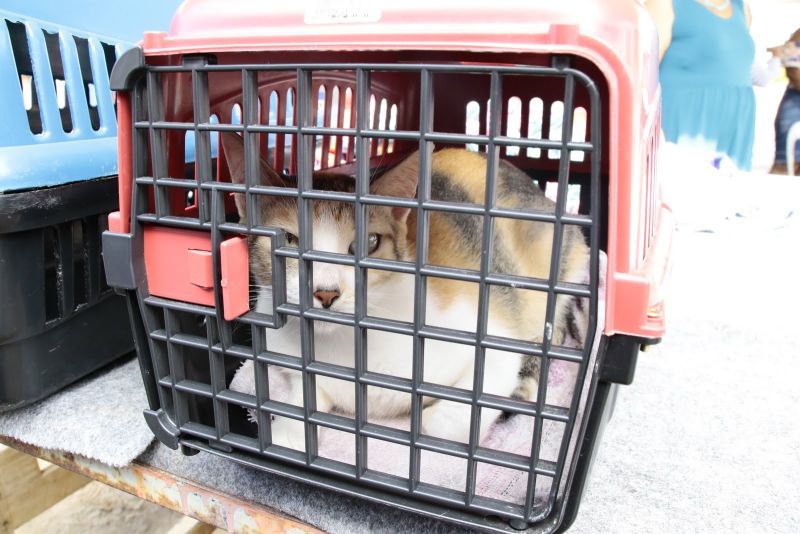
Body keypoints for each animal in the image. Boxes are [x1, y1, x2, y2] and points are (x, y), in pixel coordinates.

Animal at [219, 134, 588, 452]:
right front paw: (289, 430)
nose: (326, 293)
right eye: (290, 240)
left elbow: (441, 420)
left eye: (369, 242)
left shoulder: (492, 335)